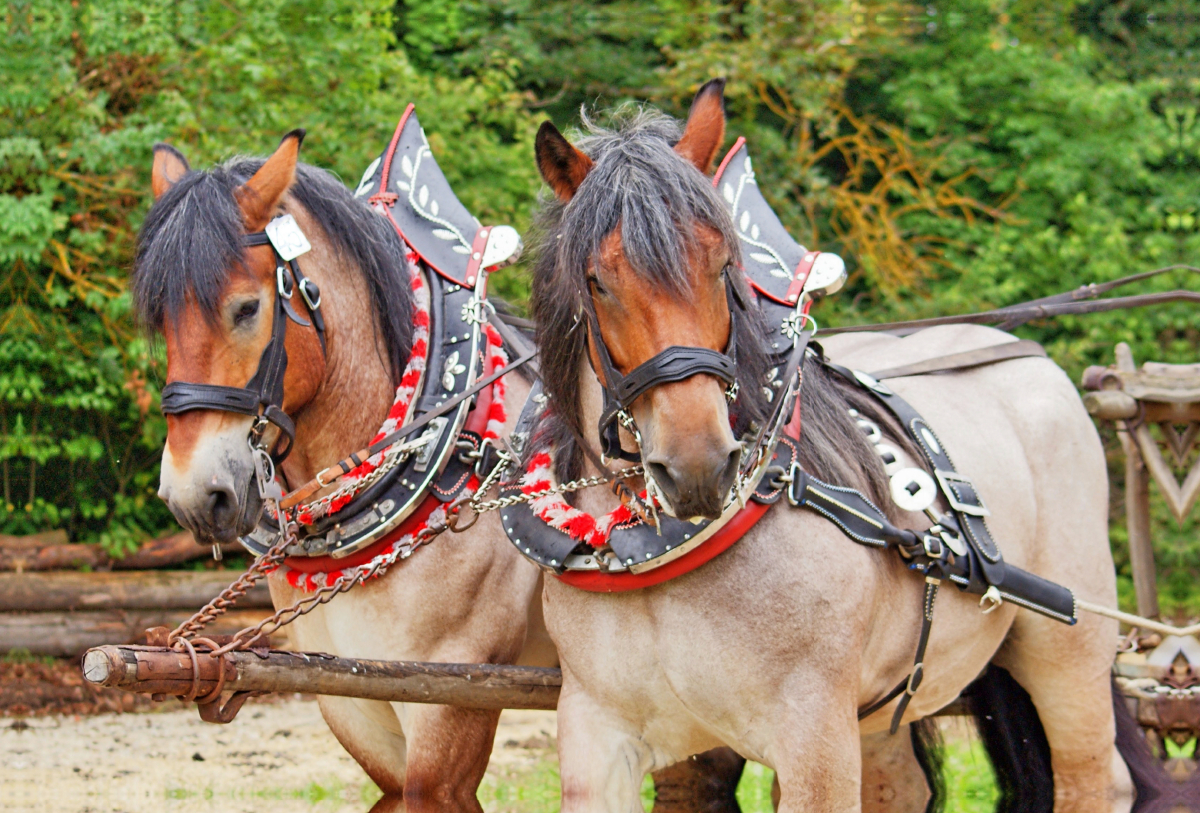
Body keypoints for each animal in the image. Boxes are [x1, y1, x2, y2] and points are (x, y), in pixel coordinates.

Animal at [523, 77, 1132, 813]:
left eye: (723, 264)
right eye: (597, 281)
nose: (699, 465)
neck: (660, 556)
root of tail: (1030, 356)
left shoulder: (815, 741)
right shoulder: (597, 736)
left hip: (1070, 661)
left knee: (1090, 777)